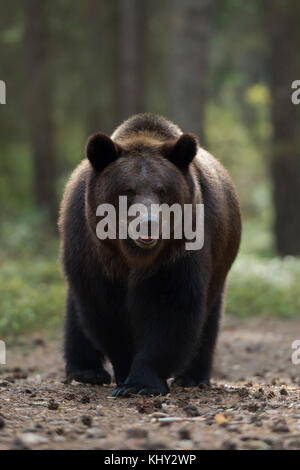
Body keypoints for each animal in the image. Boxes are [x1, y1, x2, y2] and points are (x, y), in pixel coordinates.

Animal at [58, 114, 241, 396]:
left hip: (220, 261)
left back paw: (192, 376)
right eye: (127, 189)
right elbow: (106, 311)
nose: (149, 223)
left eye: (162, 189)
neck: (133, 255)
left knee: (209, 318)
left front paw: (141, 382)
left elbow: (169, 308)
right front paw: (124, 372)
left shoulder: (178, 252)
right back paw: (86, 371)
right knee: (77, 313)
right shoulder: (95, 254)